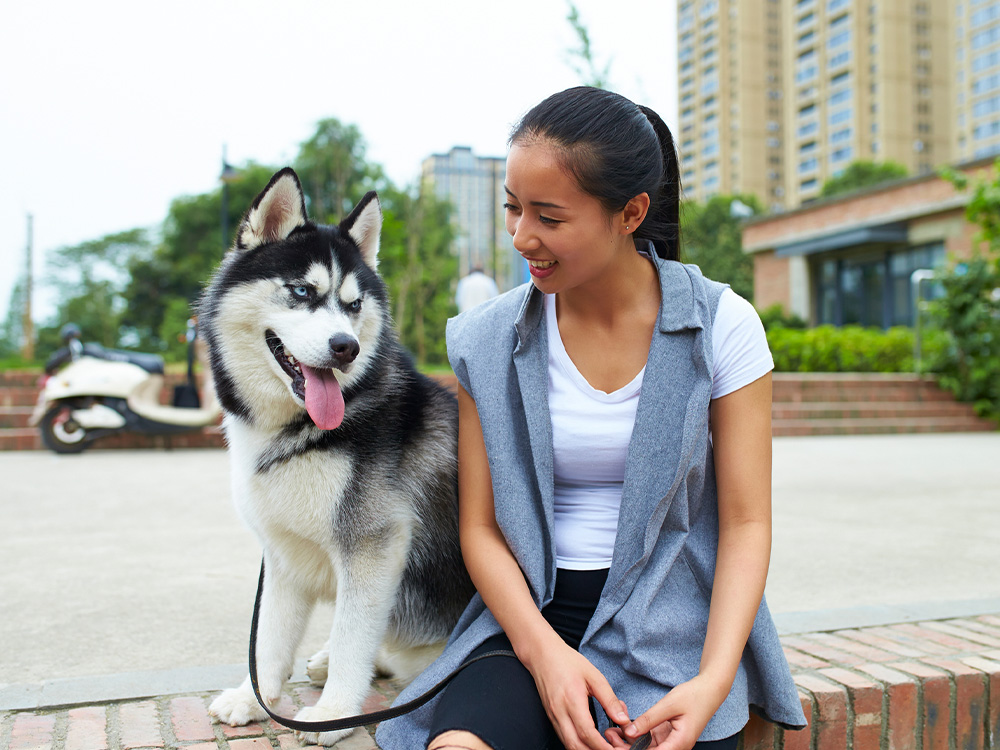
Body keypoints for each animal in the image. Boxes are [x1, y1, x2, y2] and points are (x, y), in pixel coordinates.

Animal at [201, 169, 474, 748]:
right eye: (303, 292)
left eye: (352, 305)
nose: (346, 346)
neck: (298, 430)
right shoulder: (282, 551)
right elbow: (269, 638)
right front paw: (253, 697)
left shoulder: (374, 544)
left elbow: (353, 635)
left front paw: (332, 714)